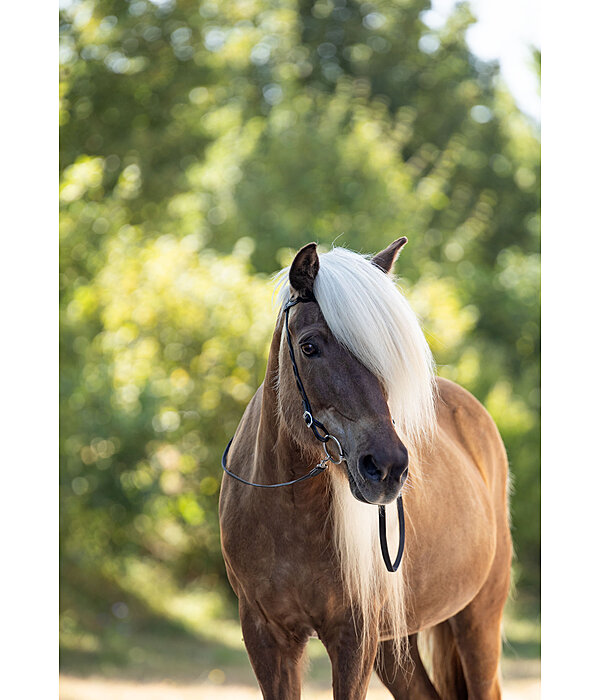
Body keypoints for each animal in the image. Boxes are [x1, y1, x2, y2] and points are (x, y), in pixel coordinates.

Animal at [219, 238, 510, 696]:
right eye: (309, 346)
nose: (387, 467)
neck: (286, 512)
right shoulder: (267, 637)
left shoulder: (354, 640)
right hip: (397, 646)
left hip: (477, 618)